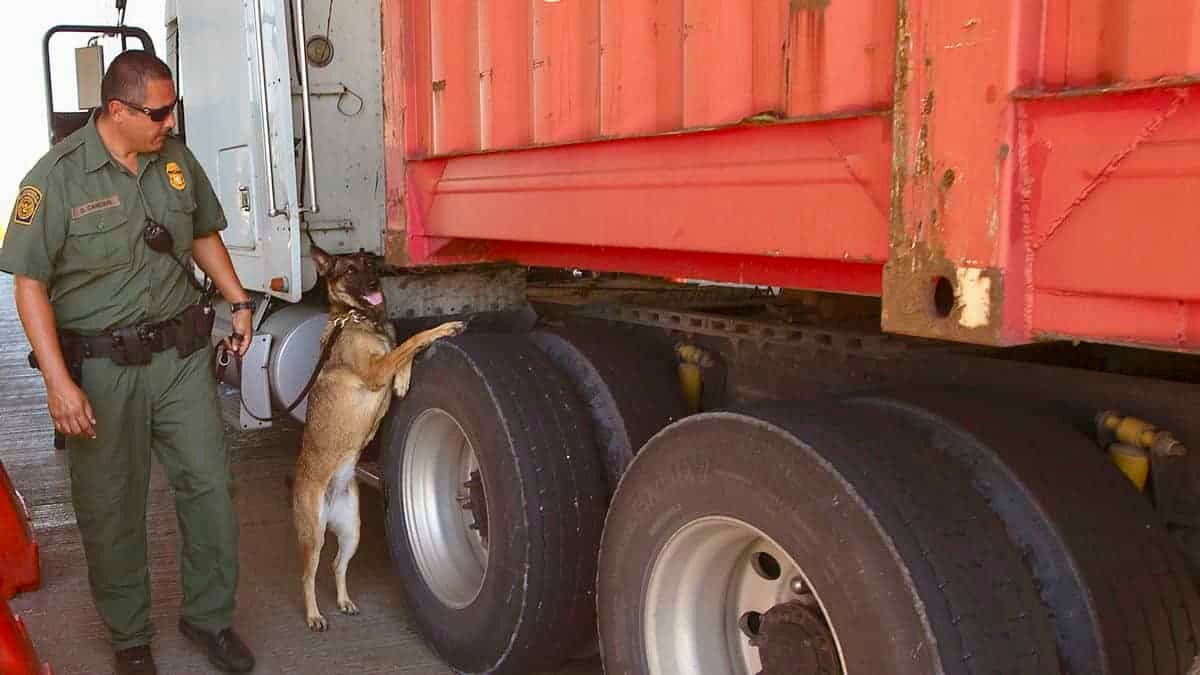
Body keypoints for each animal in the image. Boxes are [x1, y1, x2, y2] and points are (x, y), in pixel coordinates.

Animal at [295, 247, 463, 629]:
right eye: (349, 270)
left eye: (370, 264)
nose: (374, 283)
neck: (358, 317)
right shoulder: (375, 370)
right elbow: (412, 341)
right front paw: (444, 328)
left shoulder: (384, 359)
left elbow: (400, 347)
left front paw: (402, 382)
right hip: (312, 536)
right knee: (307, 575)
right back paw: (313, 615)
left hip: (352, 531)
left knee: (336, 565)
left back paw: (344, 601)